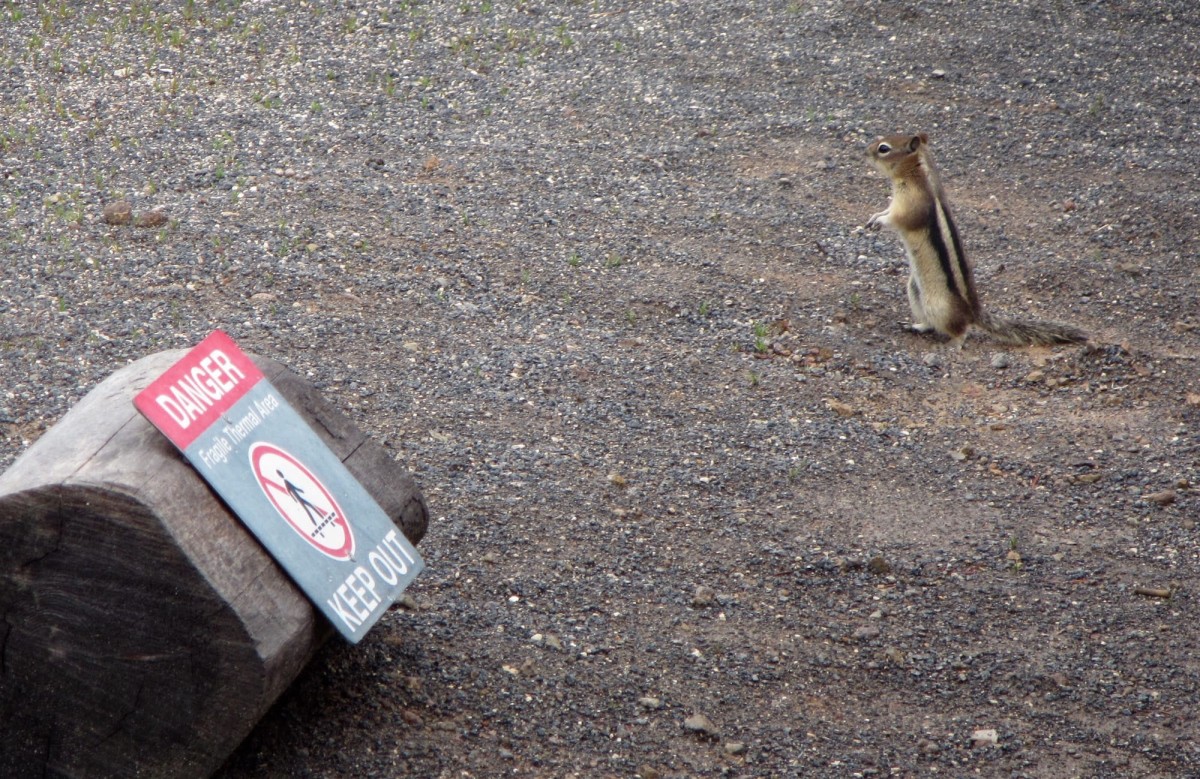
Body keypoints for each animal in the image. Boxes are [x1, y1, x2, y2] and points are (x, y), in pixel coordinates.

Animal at [864, 132, 1089, 345]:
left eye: (883, 148)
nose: (865, 152)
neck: (917, 172)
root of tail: (973, 312)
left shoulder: (913, 204)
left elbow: (898, 218)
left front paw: (880, 222)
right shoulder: (896, 202)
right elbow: (885, 210)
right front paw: (874, 217)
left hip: (939, 306)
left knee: (960, 328)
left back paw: (954, 344)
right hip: (915, 291)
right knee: (931, 323)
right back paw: (916, 326)